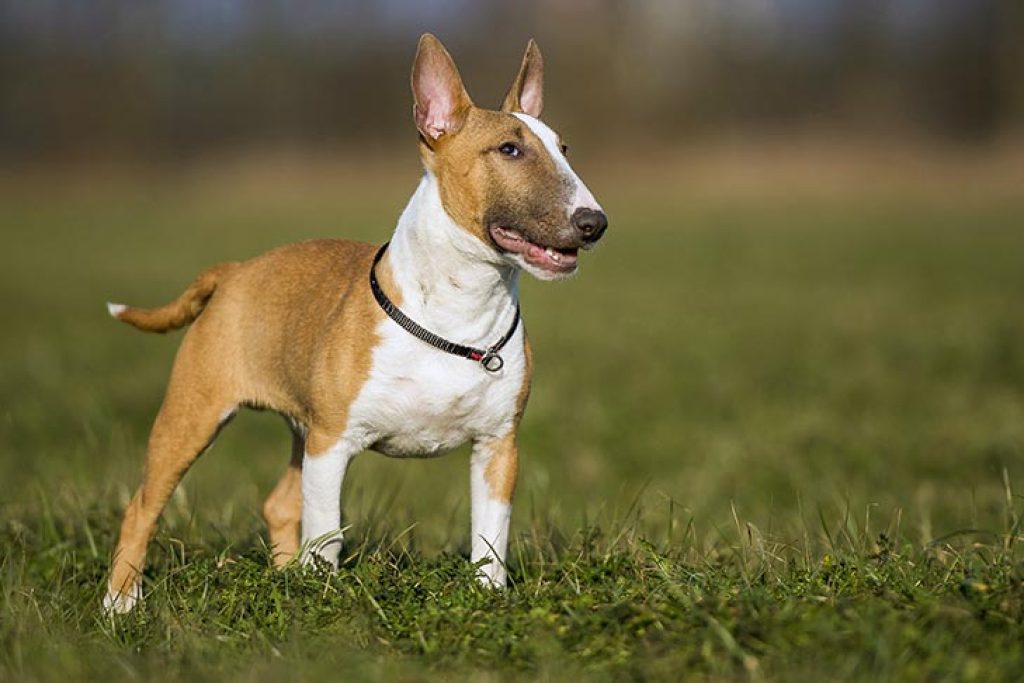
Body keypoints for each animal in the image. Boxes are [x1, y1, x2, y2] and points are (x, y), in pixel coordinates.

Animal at [105, 33, 606, 614]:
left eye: (564, 149)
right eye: (509, 150)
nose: (594, 224)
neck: (458, 309)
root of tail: (235, 271)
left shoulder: (498, 448)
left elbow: (490, 536)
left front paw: (487, 598)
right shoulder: (332, 445)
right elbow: (327, 534)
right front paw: (324, 602)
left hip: (299, 431)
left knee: (279, 505)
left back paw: (283, 579)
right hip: (196, 414)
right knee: (143, 504)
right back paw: (120, 602)